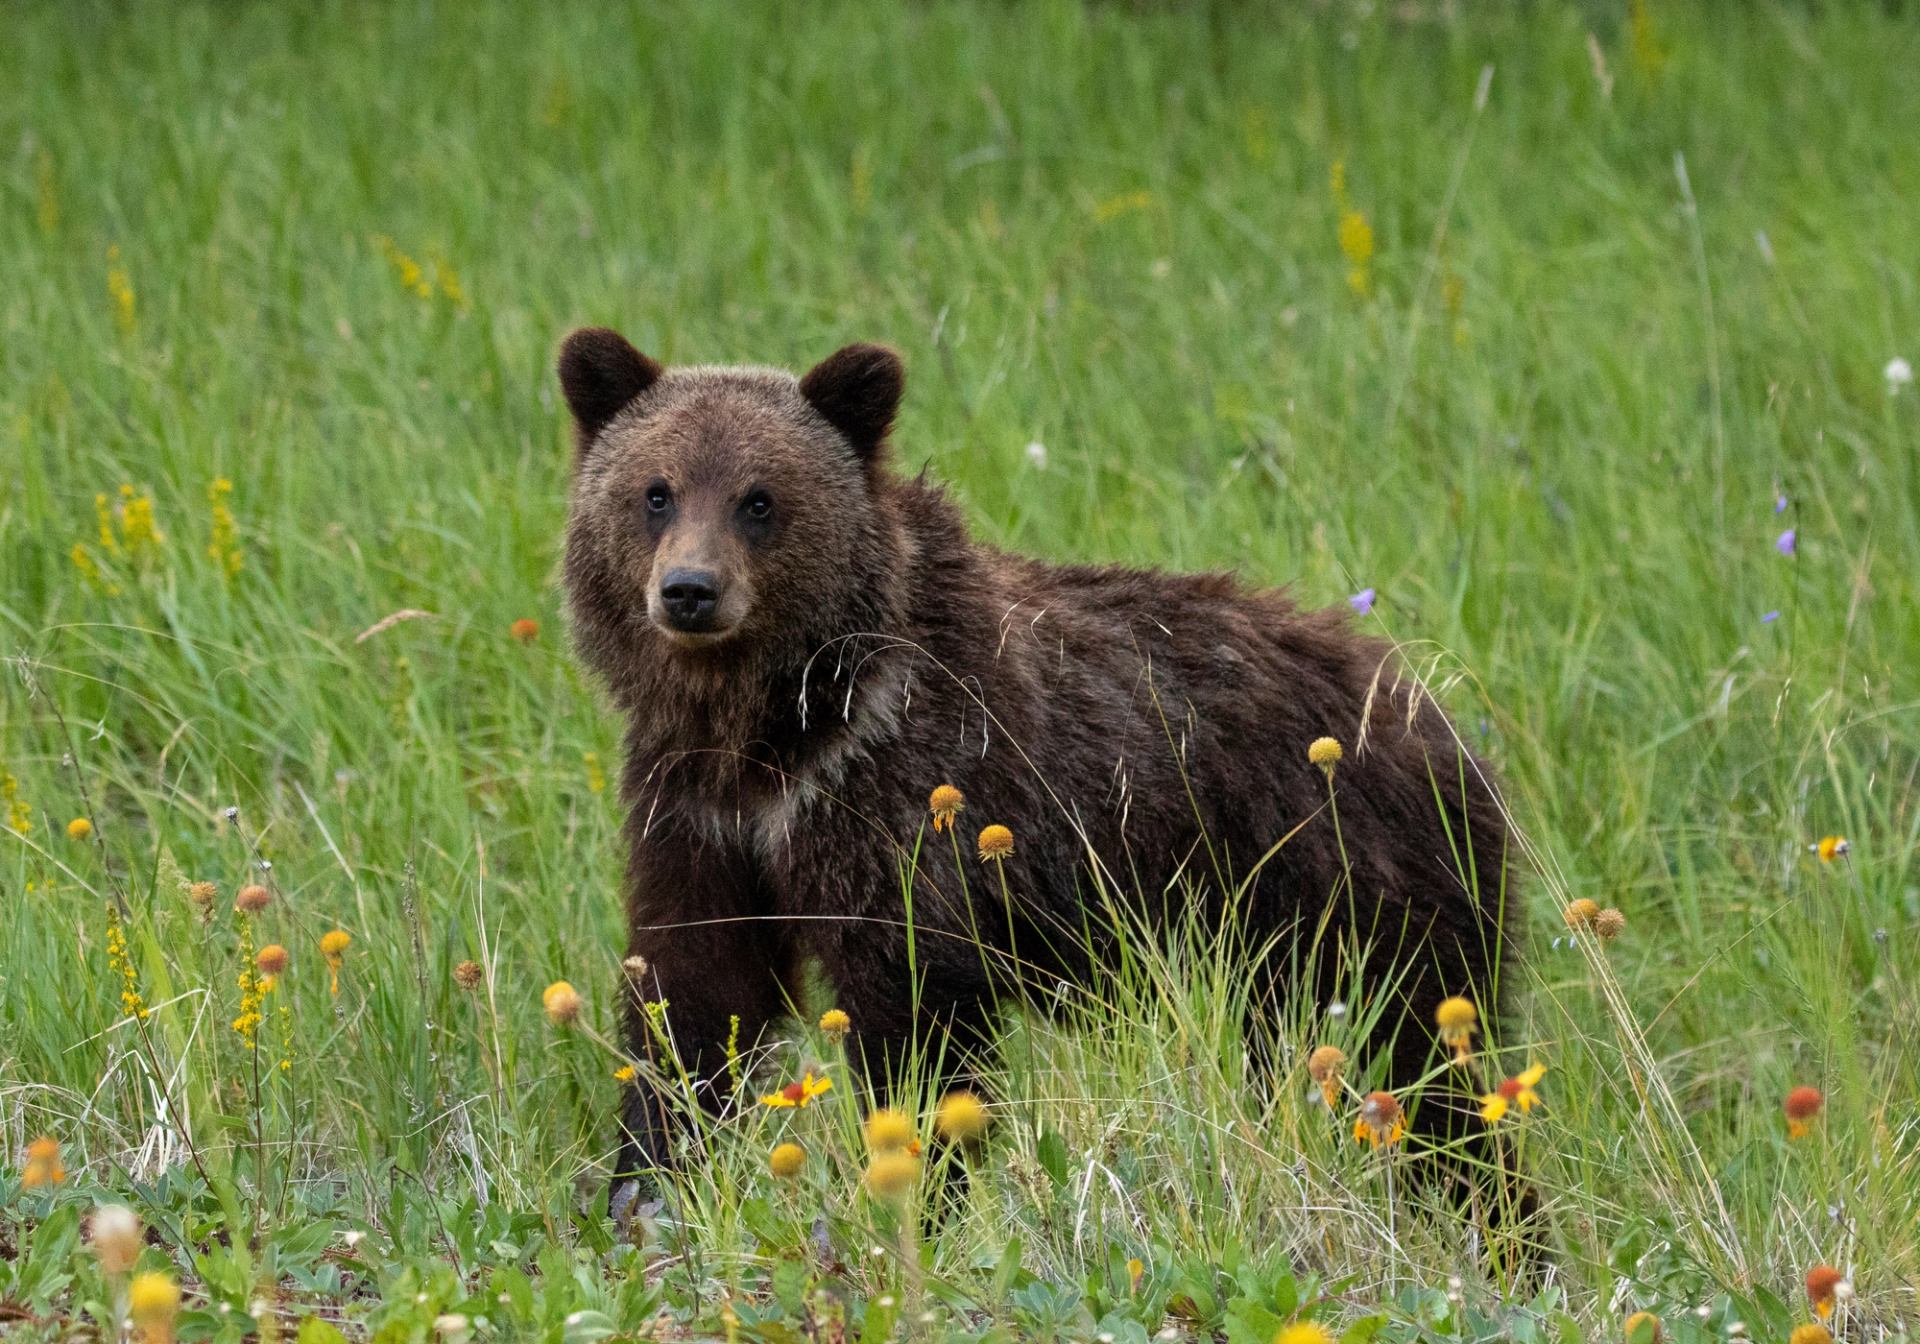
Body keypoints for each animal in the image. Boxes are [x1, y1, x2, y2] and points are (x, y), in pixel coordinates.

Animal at [556, 328, 1516, 1218]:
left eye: (760, 499)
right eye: (655, 491)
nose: (689, 590)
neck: (775, 731)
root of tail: (1430, 711)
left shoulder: (899, 805)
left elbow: (914, 1019)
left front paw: (922, 1195)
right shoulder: (698, 815)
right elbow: (692, 996)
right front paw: (645, 1187)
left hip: (1349, 888)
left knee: (1428, 1071)